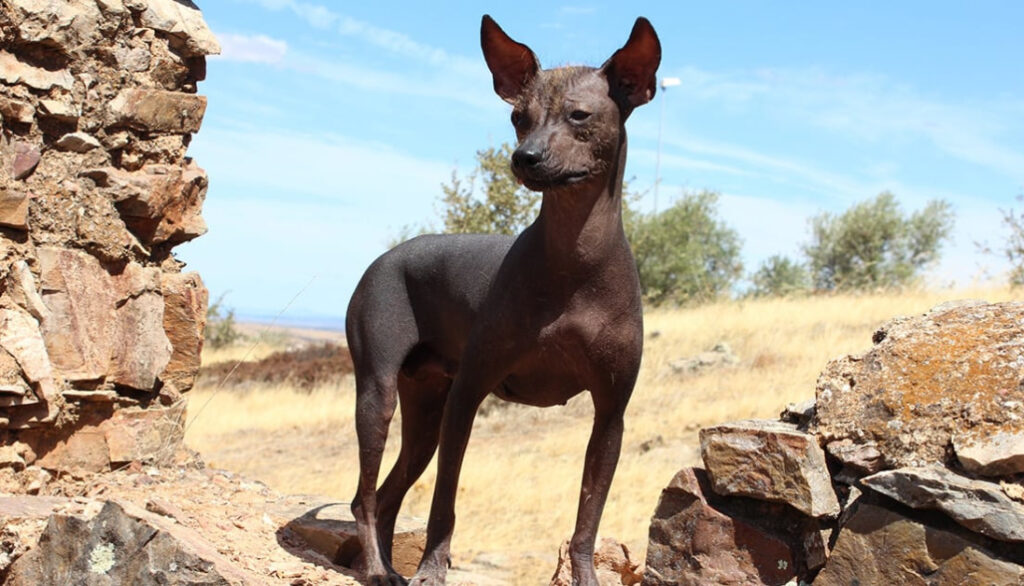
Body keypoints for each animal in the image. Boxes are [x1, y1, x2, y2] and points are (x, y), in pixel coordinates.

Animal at [348, 14, 659, 586]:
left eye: (580, 115)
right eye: (518, 117)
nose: (524, 157)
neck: (574, 261)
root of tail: (387, 257)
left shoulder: (610, 416)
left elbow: (587, 520)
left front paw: (585, 575)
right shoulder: (467, 396)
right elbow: (443, 504)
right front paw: (432, 570)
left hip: (424, 414)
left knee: (385, 494)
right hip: (378, 394)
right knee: (365, 496)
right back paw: (380, 571)